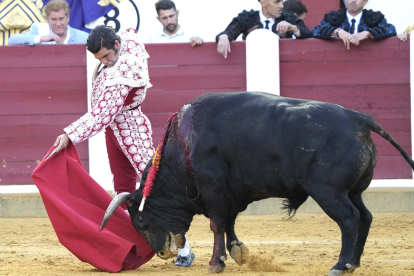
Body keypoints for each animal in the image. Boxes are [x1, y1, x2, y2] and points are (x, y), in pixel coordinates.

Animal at [100, 91, 414, 274]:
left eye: (140, 221)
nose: (162, 253)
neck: (183, 147)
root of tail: (358, 118)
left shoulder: (213, 188)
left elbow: (217, 223)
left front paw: (216, 262)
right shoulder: (232, 193)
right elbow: (228, 222)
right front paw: (237, 251)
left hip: (329, 192)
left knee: (349, 219)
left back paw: (341, 265)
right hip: (354, 190)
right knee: (365, 216)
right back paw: (355, 262)